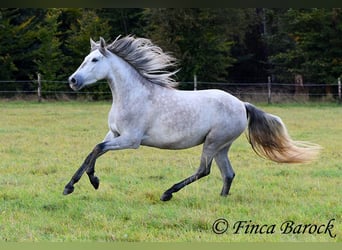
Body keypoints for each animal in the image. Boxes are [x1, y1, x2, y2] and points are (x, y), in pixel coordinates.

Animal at [63, 34, 320, 201]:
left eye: (95, 60)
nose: (73, 80)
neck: (132, 95)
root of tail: (241, 105)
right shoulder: (114, 134)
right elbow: (93, 152)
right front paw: (76, 184)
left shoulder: (130, 140)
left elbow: (97, 149)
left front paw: (87, 183)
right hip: (222, 146)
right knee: (228, 173)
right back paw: (221, 199)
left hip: (213, 142)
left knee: (204, 170)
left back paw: (167, 193)